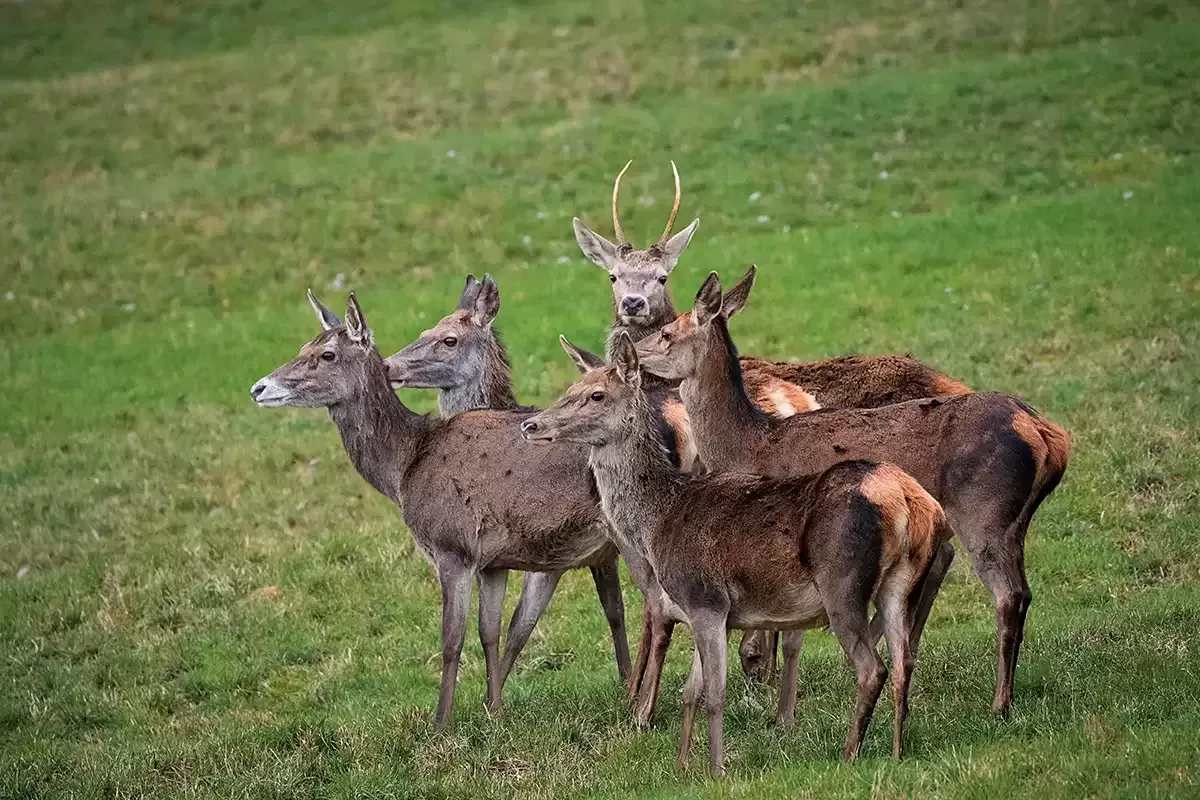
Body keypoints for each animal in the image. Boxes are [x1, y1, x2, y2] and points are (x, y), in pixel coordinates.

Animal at [249, 293, 633, 734]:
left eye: (327, 354)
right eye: (302, 347)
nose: (258, 387)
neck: (406, 468)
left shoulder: (452, 547)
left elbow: (452, 640)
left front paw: (440, 724)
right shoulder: (492, 561)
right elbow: (491, 631)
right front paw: (495, 712)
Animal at [520, 333, 950, 777]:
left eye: (596, 395)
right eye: (571, 389)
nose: (531, 425)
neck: (659, 520)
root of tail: (910, 502)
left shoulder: (706, 598)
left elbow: (714, 693)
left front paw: (716, 770)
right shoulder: (706, 610)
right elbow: (691, 690)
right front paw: (682, 765)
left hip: (842, 584)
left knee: (872, 668)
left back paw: (850, 754)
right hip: (900, 584)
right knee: (903, 661)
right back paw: (898, 751)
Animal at [633, 271, 1075, 714]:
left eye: (668, 333)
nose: (631, 352)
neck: (750, 445)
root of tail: (1047, 434)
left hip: (984, 512)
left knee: (1007, 595)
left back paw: (999, 702)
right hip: (1013, 522)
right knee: (1023, 591)